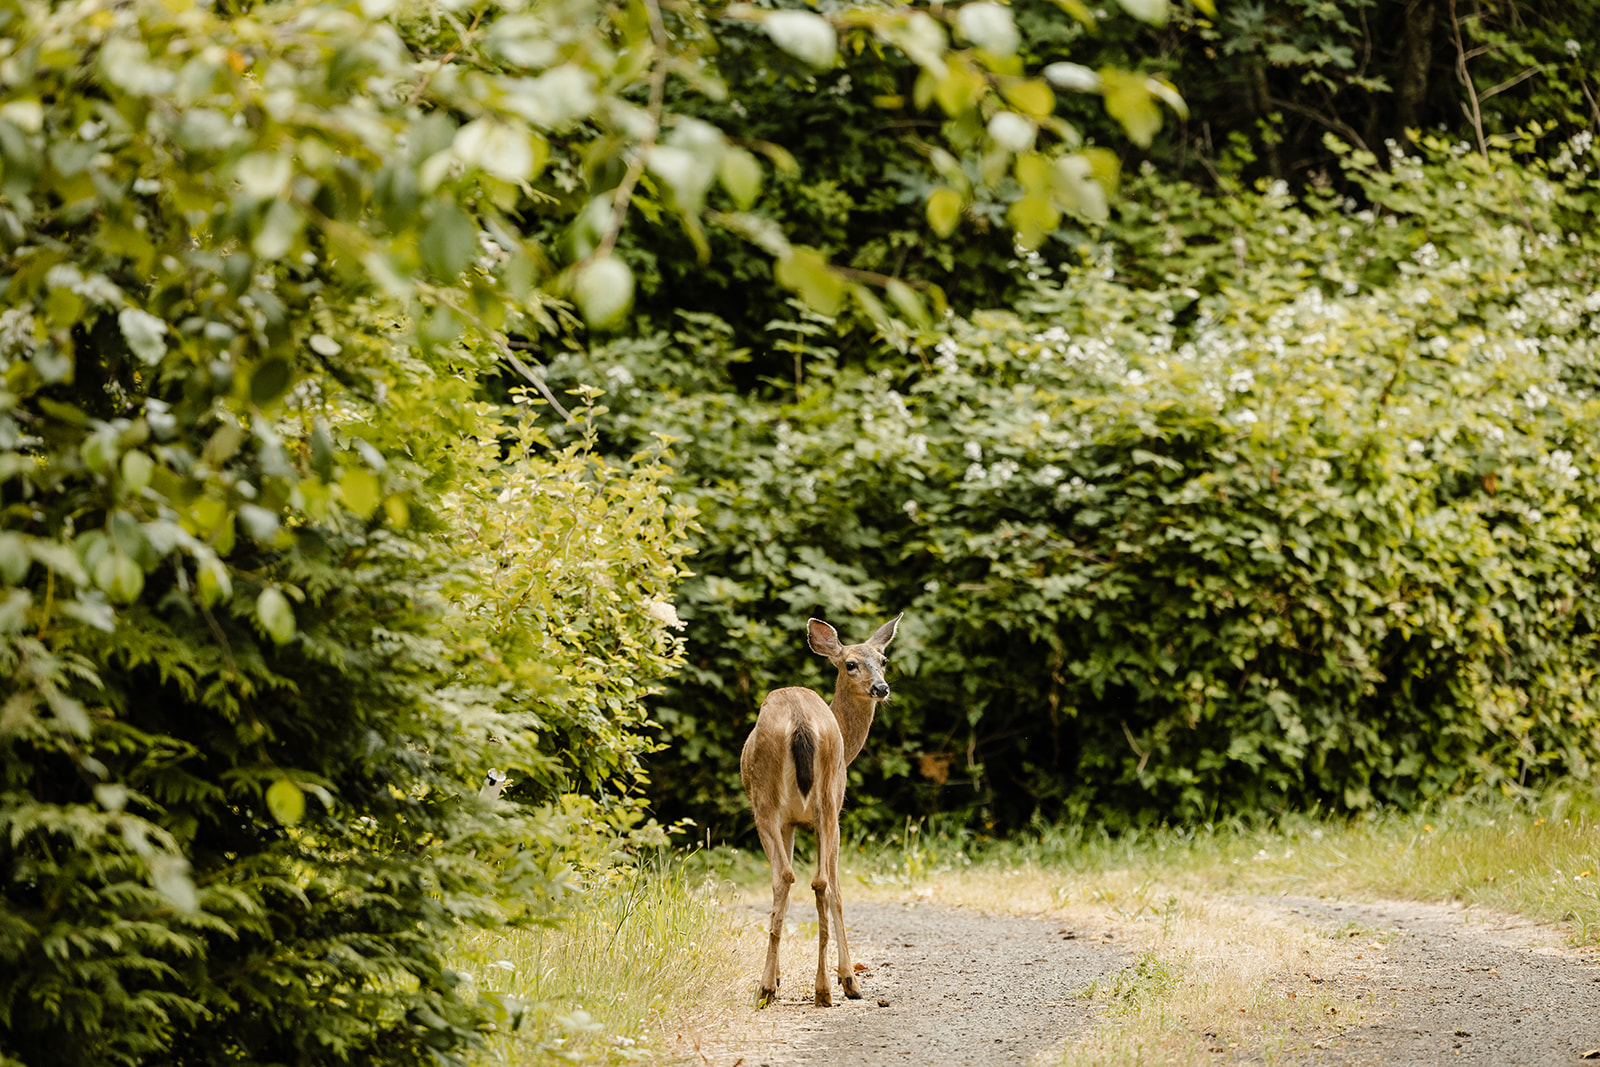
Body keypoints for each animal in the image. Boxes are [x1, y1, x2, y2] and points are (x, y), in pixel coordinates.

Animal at [740, 613, 902, 1008]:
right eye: (851, 664)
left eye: (884, 659)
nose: (881, 688)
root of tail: (800, 720)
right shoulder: (814, 818)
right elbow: (833, 891)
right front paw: (845, 979)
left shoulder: (794, 821)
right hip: (824, 801)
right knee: (816, 882)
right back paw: (819, 987)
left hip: (776, 804)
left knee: (792, 878)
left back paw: (784, 987)